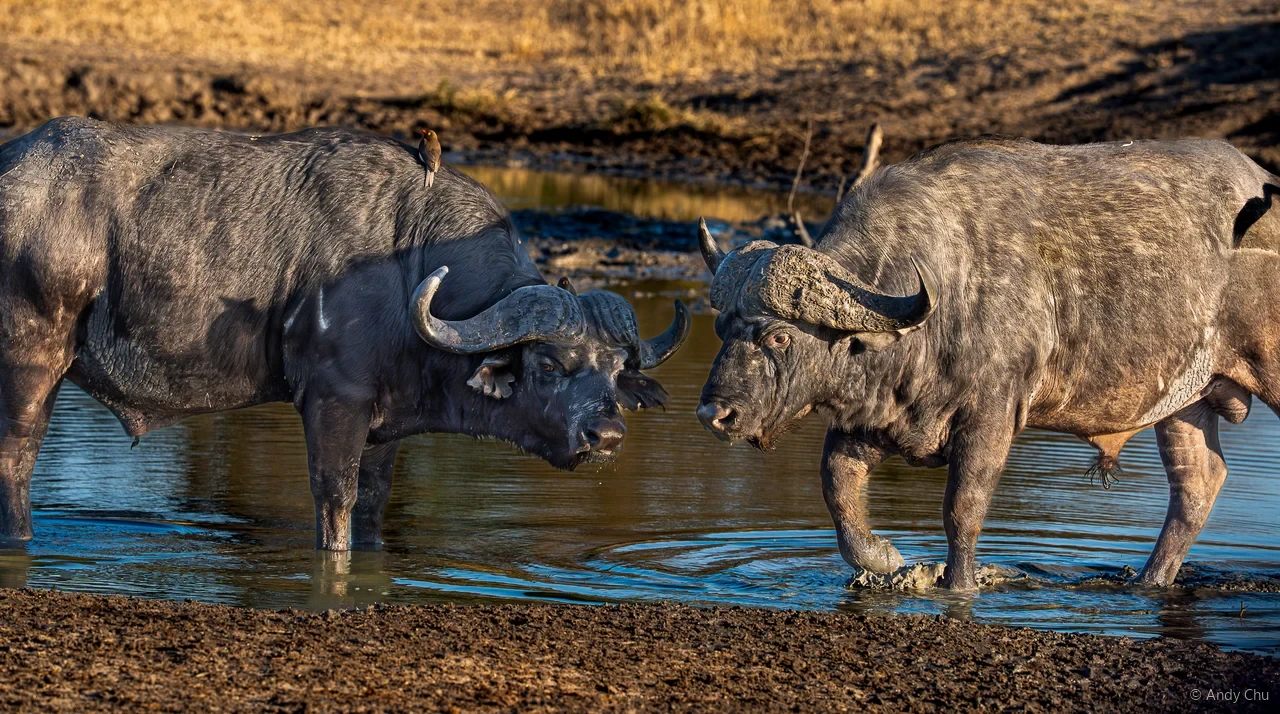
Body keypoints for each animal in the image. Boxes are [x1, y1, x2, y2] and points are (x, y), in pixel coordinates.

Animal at [0, 117, 688, 550]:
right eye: (548, 364)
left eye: (614, 370)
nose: (607, 437)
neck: (408, 260)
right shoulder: (334, 403)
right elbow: (335, 502)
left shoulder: (389, 427)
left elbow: (375, 504)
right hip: (31, 363)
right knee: (17, 459)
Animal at [696, 136, 1280, 589]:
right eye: (722, 328)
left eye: (777, 336)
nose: (714, 415)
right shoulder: (877, 418)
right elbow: (837, 490)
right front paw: (884, 559)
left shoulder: (991, 417)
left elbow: (963, 509)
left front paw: (959, 585)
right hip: (1187, 402)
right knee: (1198, 484)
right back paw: (1147, 581)